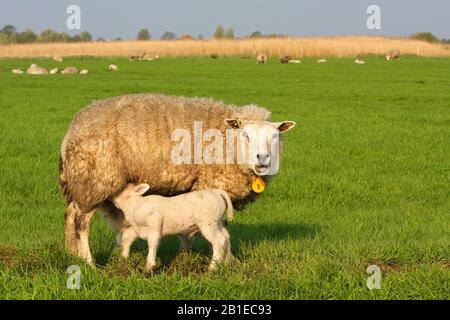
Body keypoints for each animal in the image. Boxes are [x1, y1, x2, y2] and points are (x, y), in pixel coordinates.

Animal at [60, 94, 296, 264]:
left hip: (80, 182)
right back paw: (89, 262)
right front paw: (226, 260)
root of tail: (72, 130)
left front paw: (193, 256)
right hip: (94, 181)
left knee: (70, 215)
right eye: (245, 135)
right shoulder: (213, 185)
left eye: (274, 136)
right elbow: (222, 227)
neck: (225, 140)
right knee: (81, 223)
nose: (262, 159)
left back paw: (73, 254)